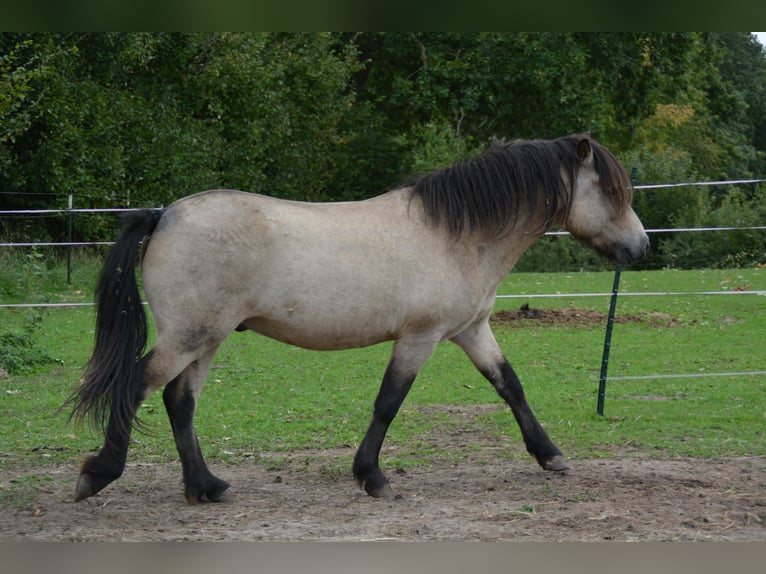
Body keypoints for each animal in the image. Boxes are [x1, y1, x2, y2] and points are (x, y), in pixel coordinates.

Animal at [66, 134, 649, 503]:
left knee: (179, 402)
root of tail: (165, 214)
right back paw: (100, 475)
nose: (641, 248)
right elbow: (389, 403)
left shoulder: (471, 331)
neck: (457, 235)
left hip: (206, 339)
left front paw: (550, 456)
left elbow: (512, 387)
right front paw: (372, 477)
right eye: (612, 192)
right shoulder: (420, 337)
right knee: (136, 386)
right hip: (189, 336)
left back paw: (206, 487)